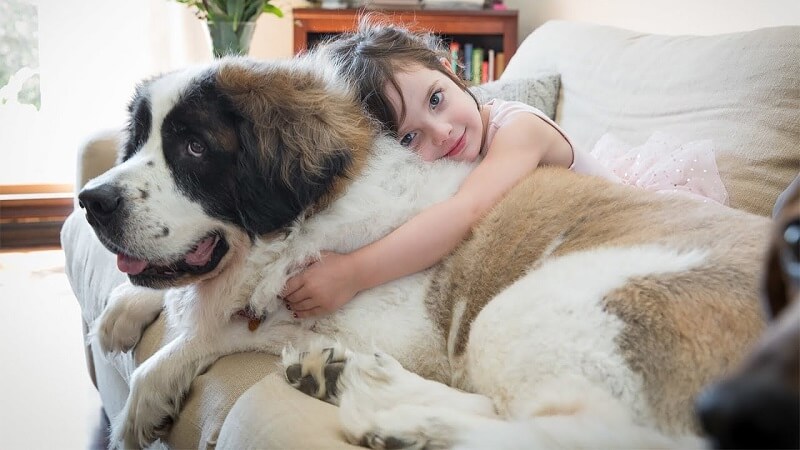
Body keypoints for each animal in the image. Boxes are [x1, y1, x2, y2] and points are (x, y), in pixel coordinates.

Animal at [79, 53, 768, 450]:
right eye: (138, 139)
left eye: (194, 148)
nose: (91, 200)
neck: (320, 209)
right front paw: (125, 310)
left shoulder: (383, 324)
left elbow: (222, 331)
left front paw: (146, 395)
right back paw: (349, 378)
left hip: (530, 308)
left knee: (579, 432)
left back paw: (392, 419)